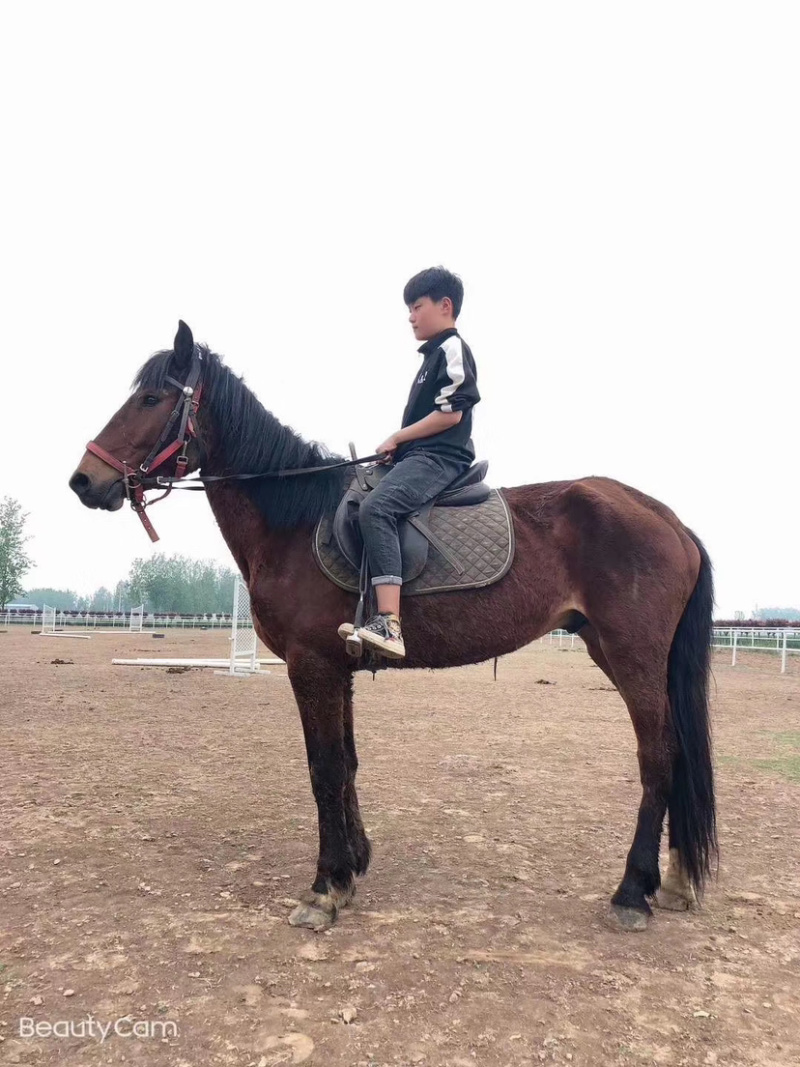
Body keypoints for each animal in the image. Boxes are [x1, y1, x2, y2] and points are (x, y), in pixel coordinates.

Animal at [69, 322, 716, 933]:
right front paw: (353, 864)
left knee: (658, 757)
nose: (83, 481)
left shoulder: (310, 665)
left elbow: (324, 769)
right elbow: (346, 764)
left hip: (632, 655)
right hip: (612, 649)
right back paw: (675, 880)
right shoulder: (338, 668)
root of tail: (665, 516)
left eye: (151, 398)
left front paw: (325, 888)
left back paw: (632, 892)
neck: (294, 520)